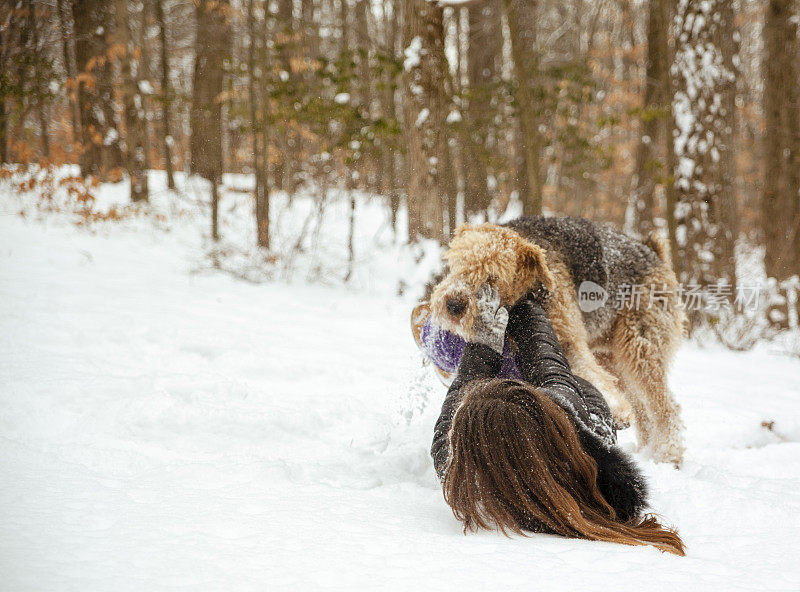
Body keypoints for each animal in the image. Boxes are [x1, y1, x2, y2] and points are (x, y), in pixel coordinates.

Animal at [422, 215, 684, 464]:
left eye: (494, 275)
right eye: (456, 264)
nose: (453, 305)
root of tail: (652, 251)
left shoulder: (568, 341)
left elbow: (591, 376)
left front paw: (617, 411)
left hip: (640, 345)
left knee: (666, 407)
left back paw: (669, 455)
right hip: (612, 356)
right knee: (643, 410)